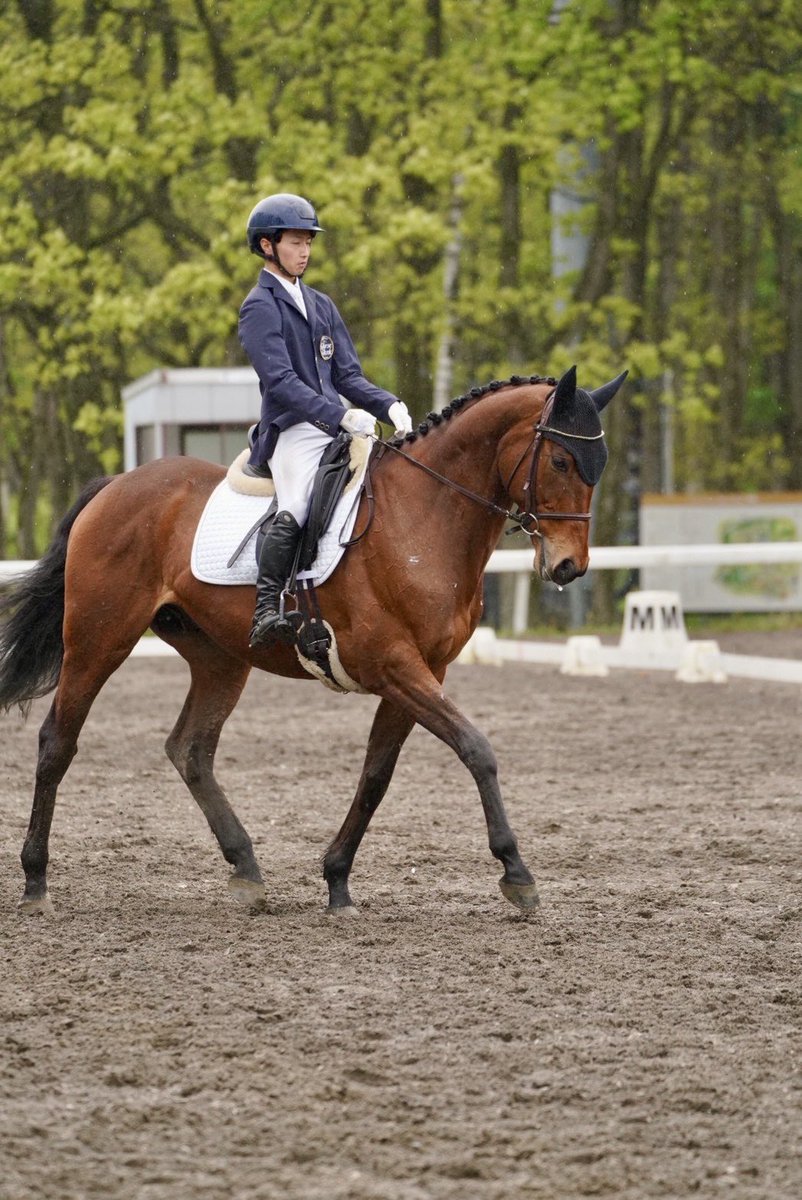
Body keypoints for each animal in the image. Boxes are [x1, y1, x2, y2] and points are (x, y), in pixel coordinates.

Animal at [0, 365, 626, 917]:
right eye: (562, 459)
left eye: (599, 464)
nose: (569, 567)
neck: (425, 516)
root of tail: (117, 486)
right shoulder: (394, 665)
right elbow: (476, 749)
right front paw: (516, 873)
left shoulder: (425, 669)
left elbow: (376, 774)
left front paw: (338, 880)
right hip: (98, 640)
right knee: (58, 742)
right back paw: (35, 882)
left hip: (220, 658)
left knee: (190, 749)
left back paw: (246, 870)